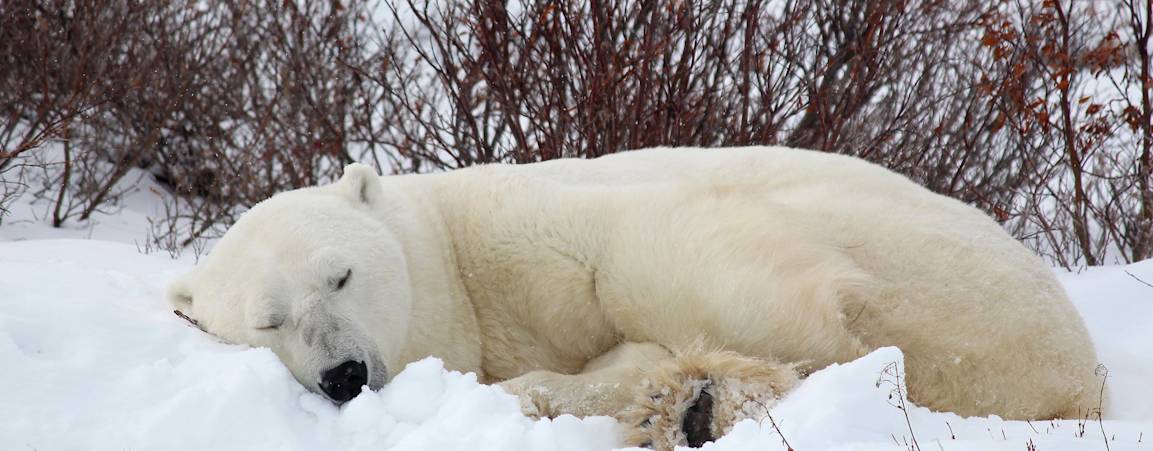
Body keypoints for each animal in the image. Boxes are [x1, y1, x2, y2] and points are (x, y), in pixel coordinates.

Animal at [168, 147, 1097, 447]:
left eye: (341, 274)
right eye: (267, 319)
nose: (344, 374)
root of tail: (1079, 374)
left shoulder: (526, 232)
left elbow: (632, 258)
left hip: (933, 276)